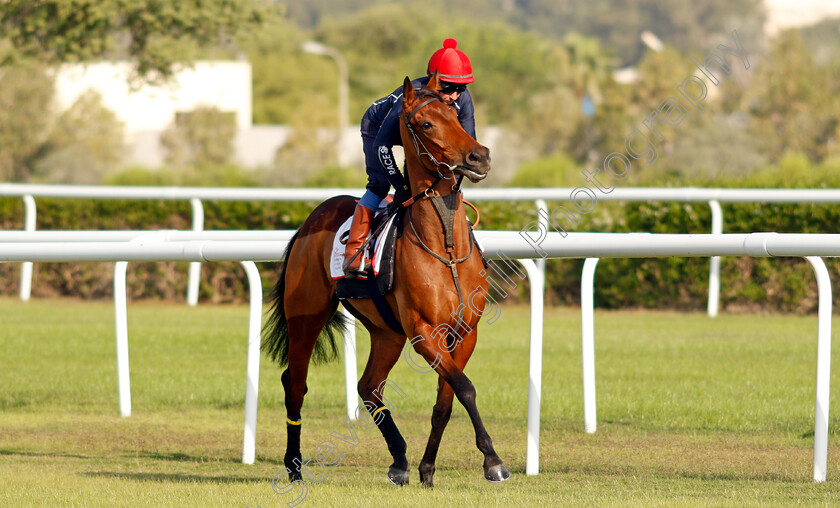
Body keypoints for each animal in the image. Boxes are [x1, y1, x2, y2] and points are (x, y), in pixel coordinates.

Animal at [266, 74, 508, 488]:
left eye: (457, 118)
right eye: (425, 124)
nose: (480, 156)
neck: (444, 246)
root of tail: (311, 218)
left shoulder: (463, 333)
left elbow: (446, 402)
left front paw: (427, 470)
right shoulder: (423, 332)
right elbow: (465, 387)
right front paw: (492, 460)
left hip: (386, 332)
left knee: (368, 386)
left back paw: (399, 460)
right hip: (306, 317)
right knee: (295, 384)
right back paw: (294, 467)